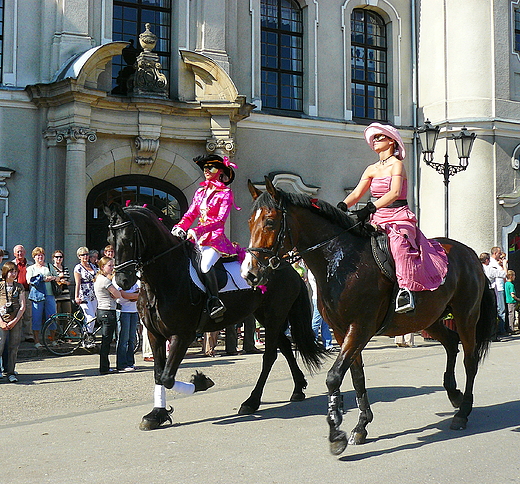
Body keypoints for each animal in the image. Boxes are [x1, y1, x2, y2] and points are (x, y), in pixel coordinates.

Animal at [103, 202, 324, 430]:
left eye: (128, 239)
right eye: (110, 240)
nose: (122, 281)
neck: (165, 278)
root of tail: (287, 266)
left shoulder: (182, 335)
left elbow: (167, 377)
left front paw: (200, 382)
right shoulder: (155, 335)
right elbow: (158, 374)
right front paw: (156, 414)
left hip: (274, 317)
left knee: (270, 356)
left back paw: (252, 401)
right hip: (267, 317)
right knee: (286, 348)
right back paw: (297, 388)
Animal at [242, 178, 498, 454]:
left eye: (269, 221)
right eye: (249, 221)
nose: (250, 273)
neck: (340, 261)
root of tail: (470, 254)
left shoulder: (360, 328)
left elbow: (334, 377)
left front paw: (336, 434)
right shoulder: (342, 331)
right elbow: (356, 377)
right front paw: (361, 425)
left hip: (465, 316)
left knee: (470, 360)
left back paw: (463, 412)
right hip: (429, 319)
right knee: (451, 343)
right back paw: (454, 394)